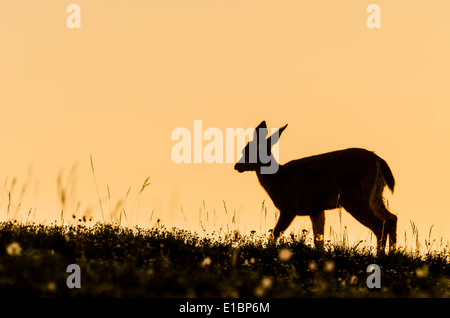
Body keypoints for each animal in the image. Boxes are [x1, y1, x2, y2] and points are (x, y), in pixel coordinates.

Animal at [236, 121, 398, 253]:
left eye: (246, 151)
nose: (236, 166)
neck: (276, 178)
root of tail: (379, 161)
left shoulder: (289, 207)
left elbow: (275, 233)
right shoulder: (316, 209)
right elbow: (318, 240)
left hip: (354, 197)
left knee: (379, 225)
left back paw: (379, 255)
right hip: (375, 195)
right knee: (391, 218)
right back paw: (391, 254)